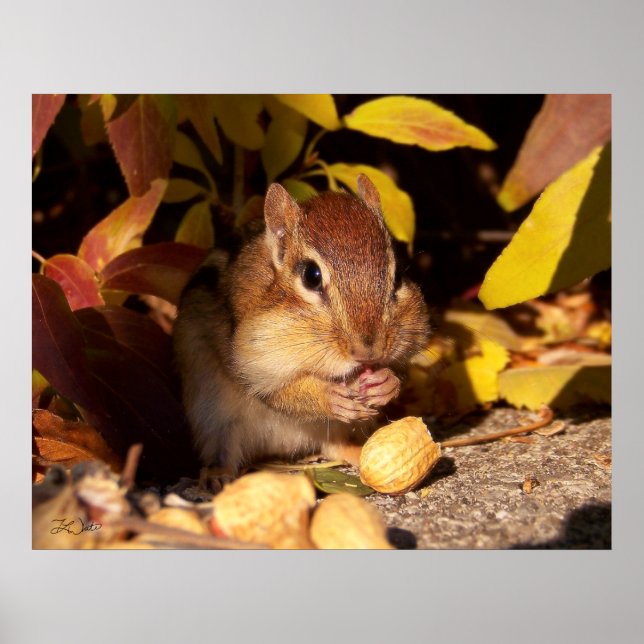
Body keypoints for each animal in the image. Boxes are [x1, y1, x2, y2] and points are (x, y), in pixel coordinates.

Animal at [173, 174, 431, 489]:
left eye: (398, 277)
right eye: (311, 276)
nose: (368, 351)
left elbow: (399, 369)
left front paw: (387, 382)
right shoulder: (252, 363)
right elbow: (280, 392)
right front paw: (329, 396)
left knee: (335, 447)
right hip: (214, 419)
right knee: (224, 451)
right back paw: (218, 476)